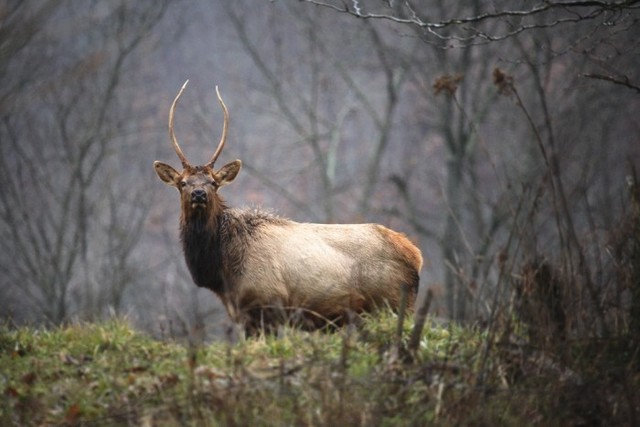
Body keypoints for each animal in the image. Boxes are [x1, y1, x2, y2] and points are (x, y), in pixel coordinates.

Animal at [153, 81, 423, 334]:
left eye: (213, 182)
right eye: (183, 183)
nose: (198, 193)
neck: (222, 273)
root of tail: (416, 255)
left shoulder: (267, 304)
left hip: (391, 303)